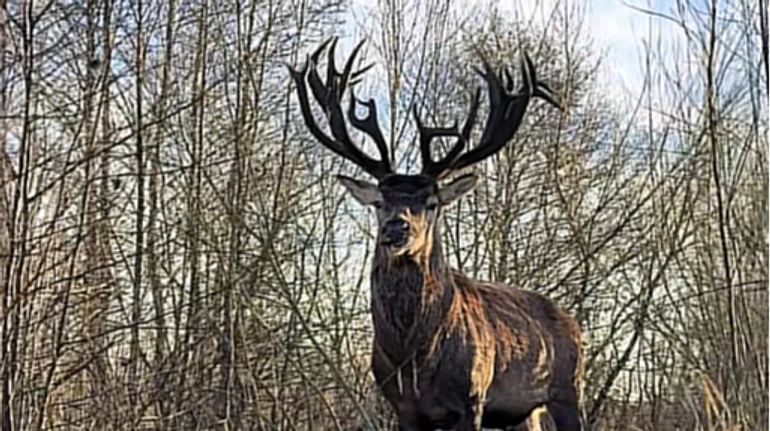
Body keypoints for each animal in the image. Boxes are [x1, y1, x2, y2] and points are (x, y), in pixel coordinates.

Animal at [288, 38, 585, 431]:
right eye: (380, 201)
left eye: (431, 203)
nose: (396, 227)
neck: (412, 358)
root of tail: (573, 324)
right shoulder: (403, 407)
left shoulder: (472, 398)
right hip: (522, 413)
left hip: (569, 390)